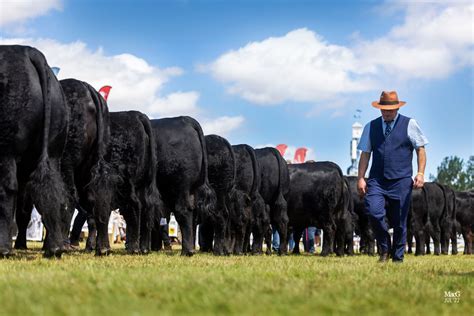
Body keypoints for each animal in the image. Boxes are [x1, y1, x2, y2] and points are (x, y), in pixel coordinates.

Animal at [0, 45, 68, 258]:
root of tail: (28, 51)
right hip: (53, 150)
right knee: (54, 190)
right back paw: (54, 248)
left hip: (7, 148)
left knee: (7, 189)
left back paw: (4, 248)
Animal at [152, 117, 215, 256]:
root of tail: (185, 119)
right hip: (190, 189)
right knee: (193, 214)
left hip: (180, 185)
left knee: (182, 211)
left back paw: (186, 251)